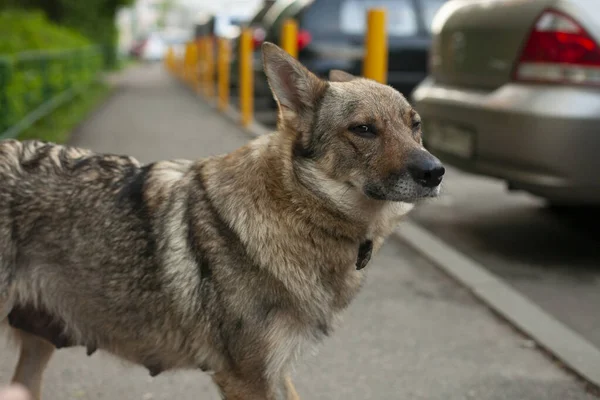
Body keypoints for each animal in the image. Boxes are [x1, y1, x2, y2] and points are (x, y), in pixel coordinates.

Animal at [0, 42, 440, 398]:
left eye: (415, 125)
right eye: (363, 129)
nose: (436, 172)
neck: (293, 211)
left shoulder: (275, 373)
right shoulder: (245, 378)